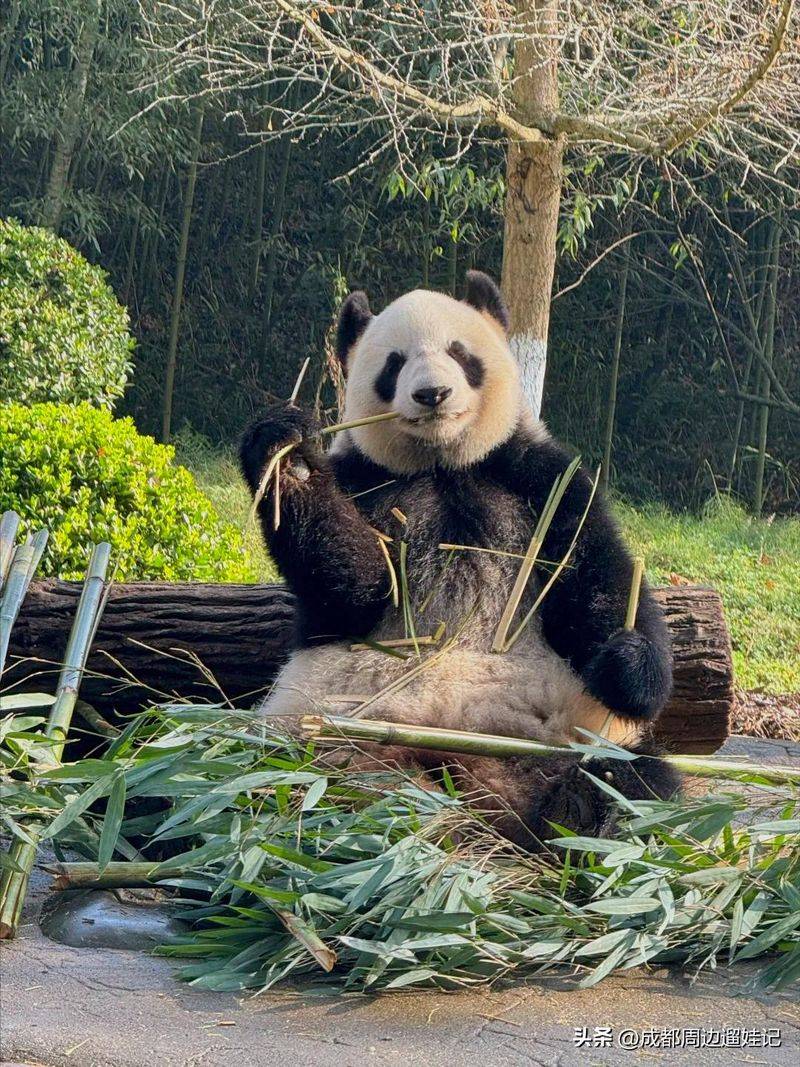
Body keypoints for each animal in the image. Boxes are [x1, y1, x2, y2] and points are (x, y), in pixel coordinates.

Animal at [240, 271, 679, 849]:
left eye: (459, 352)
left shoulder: (540, 479)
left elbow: (598, 577)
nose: (433, 394)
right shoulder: (367, 481)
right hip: (314, 736)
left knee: (634, 782)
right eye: (394, 363)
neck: (444, 466)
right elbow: (352, 590)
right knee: (248, 773)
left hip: (563, 740)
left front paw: (625, 662)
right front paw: (285, 457)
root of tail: (466, 777)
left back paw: (582, 816)